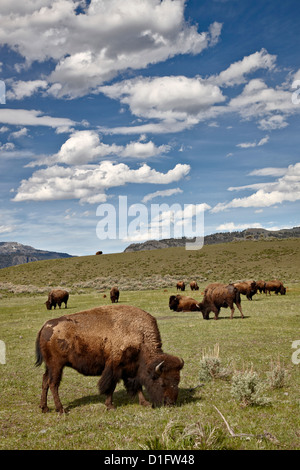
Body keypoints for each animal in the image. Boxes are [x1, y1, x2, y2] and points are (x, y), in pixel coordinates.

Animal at [34, 304, 183, 412]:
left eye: (178, 381)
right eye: (162, 382)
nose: (170, 403)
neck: (140, 335)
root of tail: (45, 326)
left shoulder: (132, 369)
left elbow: (138, 386)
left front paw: (144, 403)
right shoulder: (115, 367)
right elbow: (110, 386)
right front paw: (110, 406)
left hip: (49, 366)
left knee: (45, 381)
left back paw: (44, 408)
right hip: (56, 365)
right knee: (53, 384)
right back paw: (61, 409)